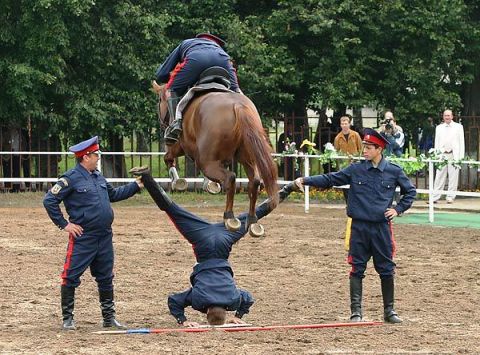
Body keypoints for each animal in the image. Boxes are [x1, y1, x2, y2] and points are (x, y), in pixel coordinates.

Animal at [152, 82, 280, 238]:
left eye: (159, 100)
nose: (162, 124)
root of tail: (238, 106)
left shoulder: (180, 145)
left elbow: (168, 157)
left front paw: (178, 181)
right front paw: (210, 184)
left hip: (206, 163)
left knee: (230, 178)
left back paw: (229, 217)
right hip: (247, 159)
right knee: (254, 182)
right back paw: (252, 221)